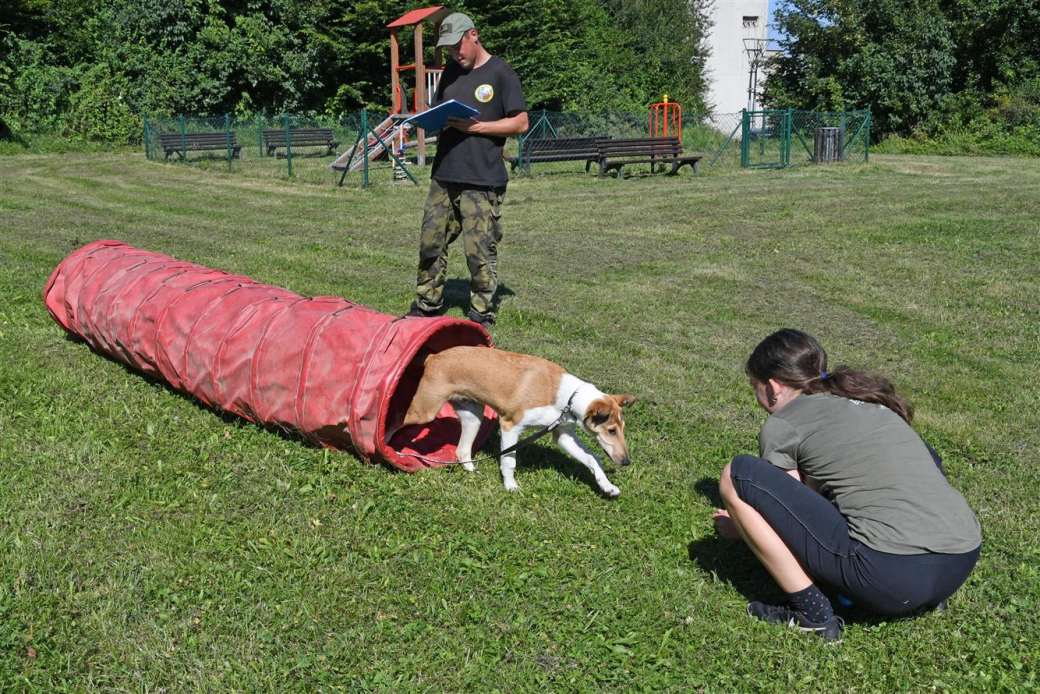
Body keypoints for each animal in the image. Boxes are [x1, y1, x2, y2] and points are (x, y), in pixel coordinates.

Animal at [393, 345, 632, 493]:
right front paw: (511, 486)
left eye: (622, 428)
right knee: (396, 420)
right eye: (611, 430)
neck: (567, 397)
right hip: (425, 411)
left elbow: (593, 458)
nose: (627, 462)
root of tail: (434, 357)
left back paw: (472, 471)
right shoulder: (510, 426)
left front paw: (607, 487)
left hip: (473, 416)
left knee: (462, 451)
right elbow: (509, 461)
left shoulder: (563, 435)